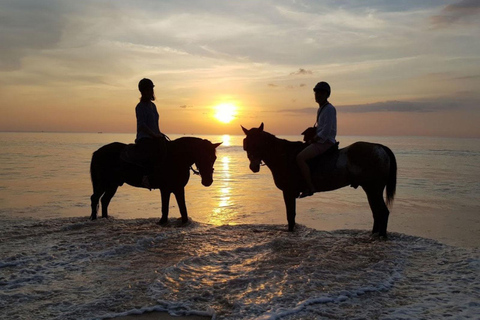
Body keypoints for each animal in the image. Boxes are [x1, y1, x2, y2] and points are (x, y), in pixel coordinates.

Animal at [90, 136, 221, 224]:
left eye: (214, 158)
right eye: (203, 156)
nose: (208, 181)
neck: (176, 157)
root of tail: (97, 152)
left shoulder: (178, 188)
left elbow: (182, 208)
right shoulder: (165, 189)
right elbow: (165, 207)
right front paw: (162, 222)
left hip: (113, 184)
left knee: (105, 200)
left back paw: (105, 218)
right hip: (104, 183)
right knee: (95, 198)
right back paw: (93, 218)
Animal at [242, 122, 396, 238]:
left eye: (258, 144)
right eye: (246, 145)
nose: (253, 167)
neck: (284, 156)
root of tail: (379, 147)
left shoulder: (288, 192)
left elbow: (290, 216)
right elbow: (292, 216)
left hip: (374, 189)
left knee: (383, 212)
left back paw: (381, 237)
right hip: (370, 190)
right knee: (376, 212)